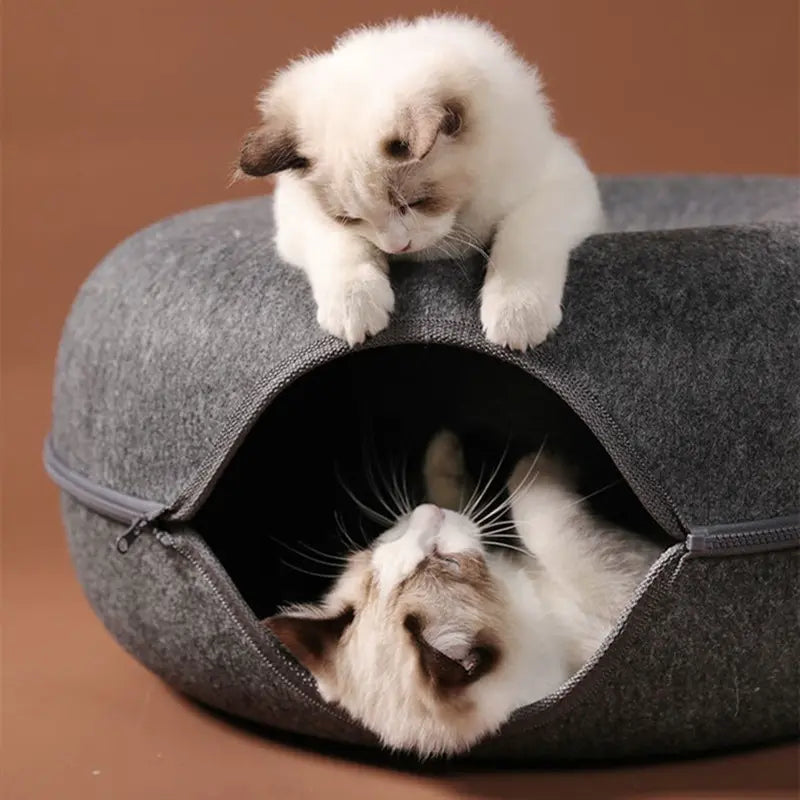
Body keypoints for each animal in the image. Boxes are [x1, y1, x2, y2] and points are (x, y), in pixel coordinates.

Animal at [241, 14, 604, 346]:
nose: (396, 247)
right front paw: (353, 307)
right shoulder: (299, 216)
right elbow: (342, 246)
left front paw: (517, 317)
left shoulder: (559, 183)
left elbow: (521, 240)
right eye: (351, 218)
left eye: (417, 203)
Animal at [266, 432, 660, 756]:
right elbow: (543, 521)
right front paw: (539, 460)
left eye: (382, 544)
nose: (427, 512)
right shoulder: (619, 588)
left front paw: (444, 452)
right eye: (449, 560)